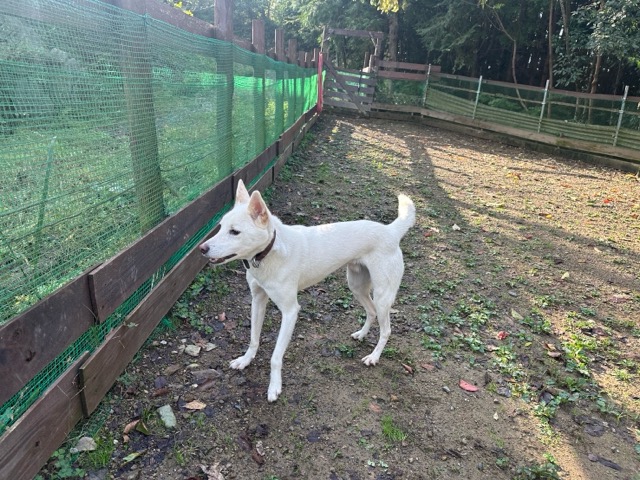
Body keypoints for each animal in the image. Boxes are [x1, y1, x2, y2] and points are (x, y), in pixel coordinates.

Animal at [199, 180, 416, 402]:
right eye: (220, 227)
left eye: (235, 232)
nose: (201, 248)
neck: (269, 252)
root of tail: (391, 231)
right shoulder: (257, 300)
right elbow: (253, 339)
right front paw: (245, 360)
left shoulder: (290, 312)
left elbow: (275, 357)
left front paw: (274, 387)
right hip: (356, 286)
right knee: (370, 312)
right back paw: (361, 335)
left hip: (382, 296)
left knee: (386, 329)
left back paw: (373, 357)